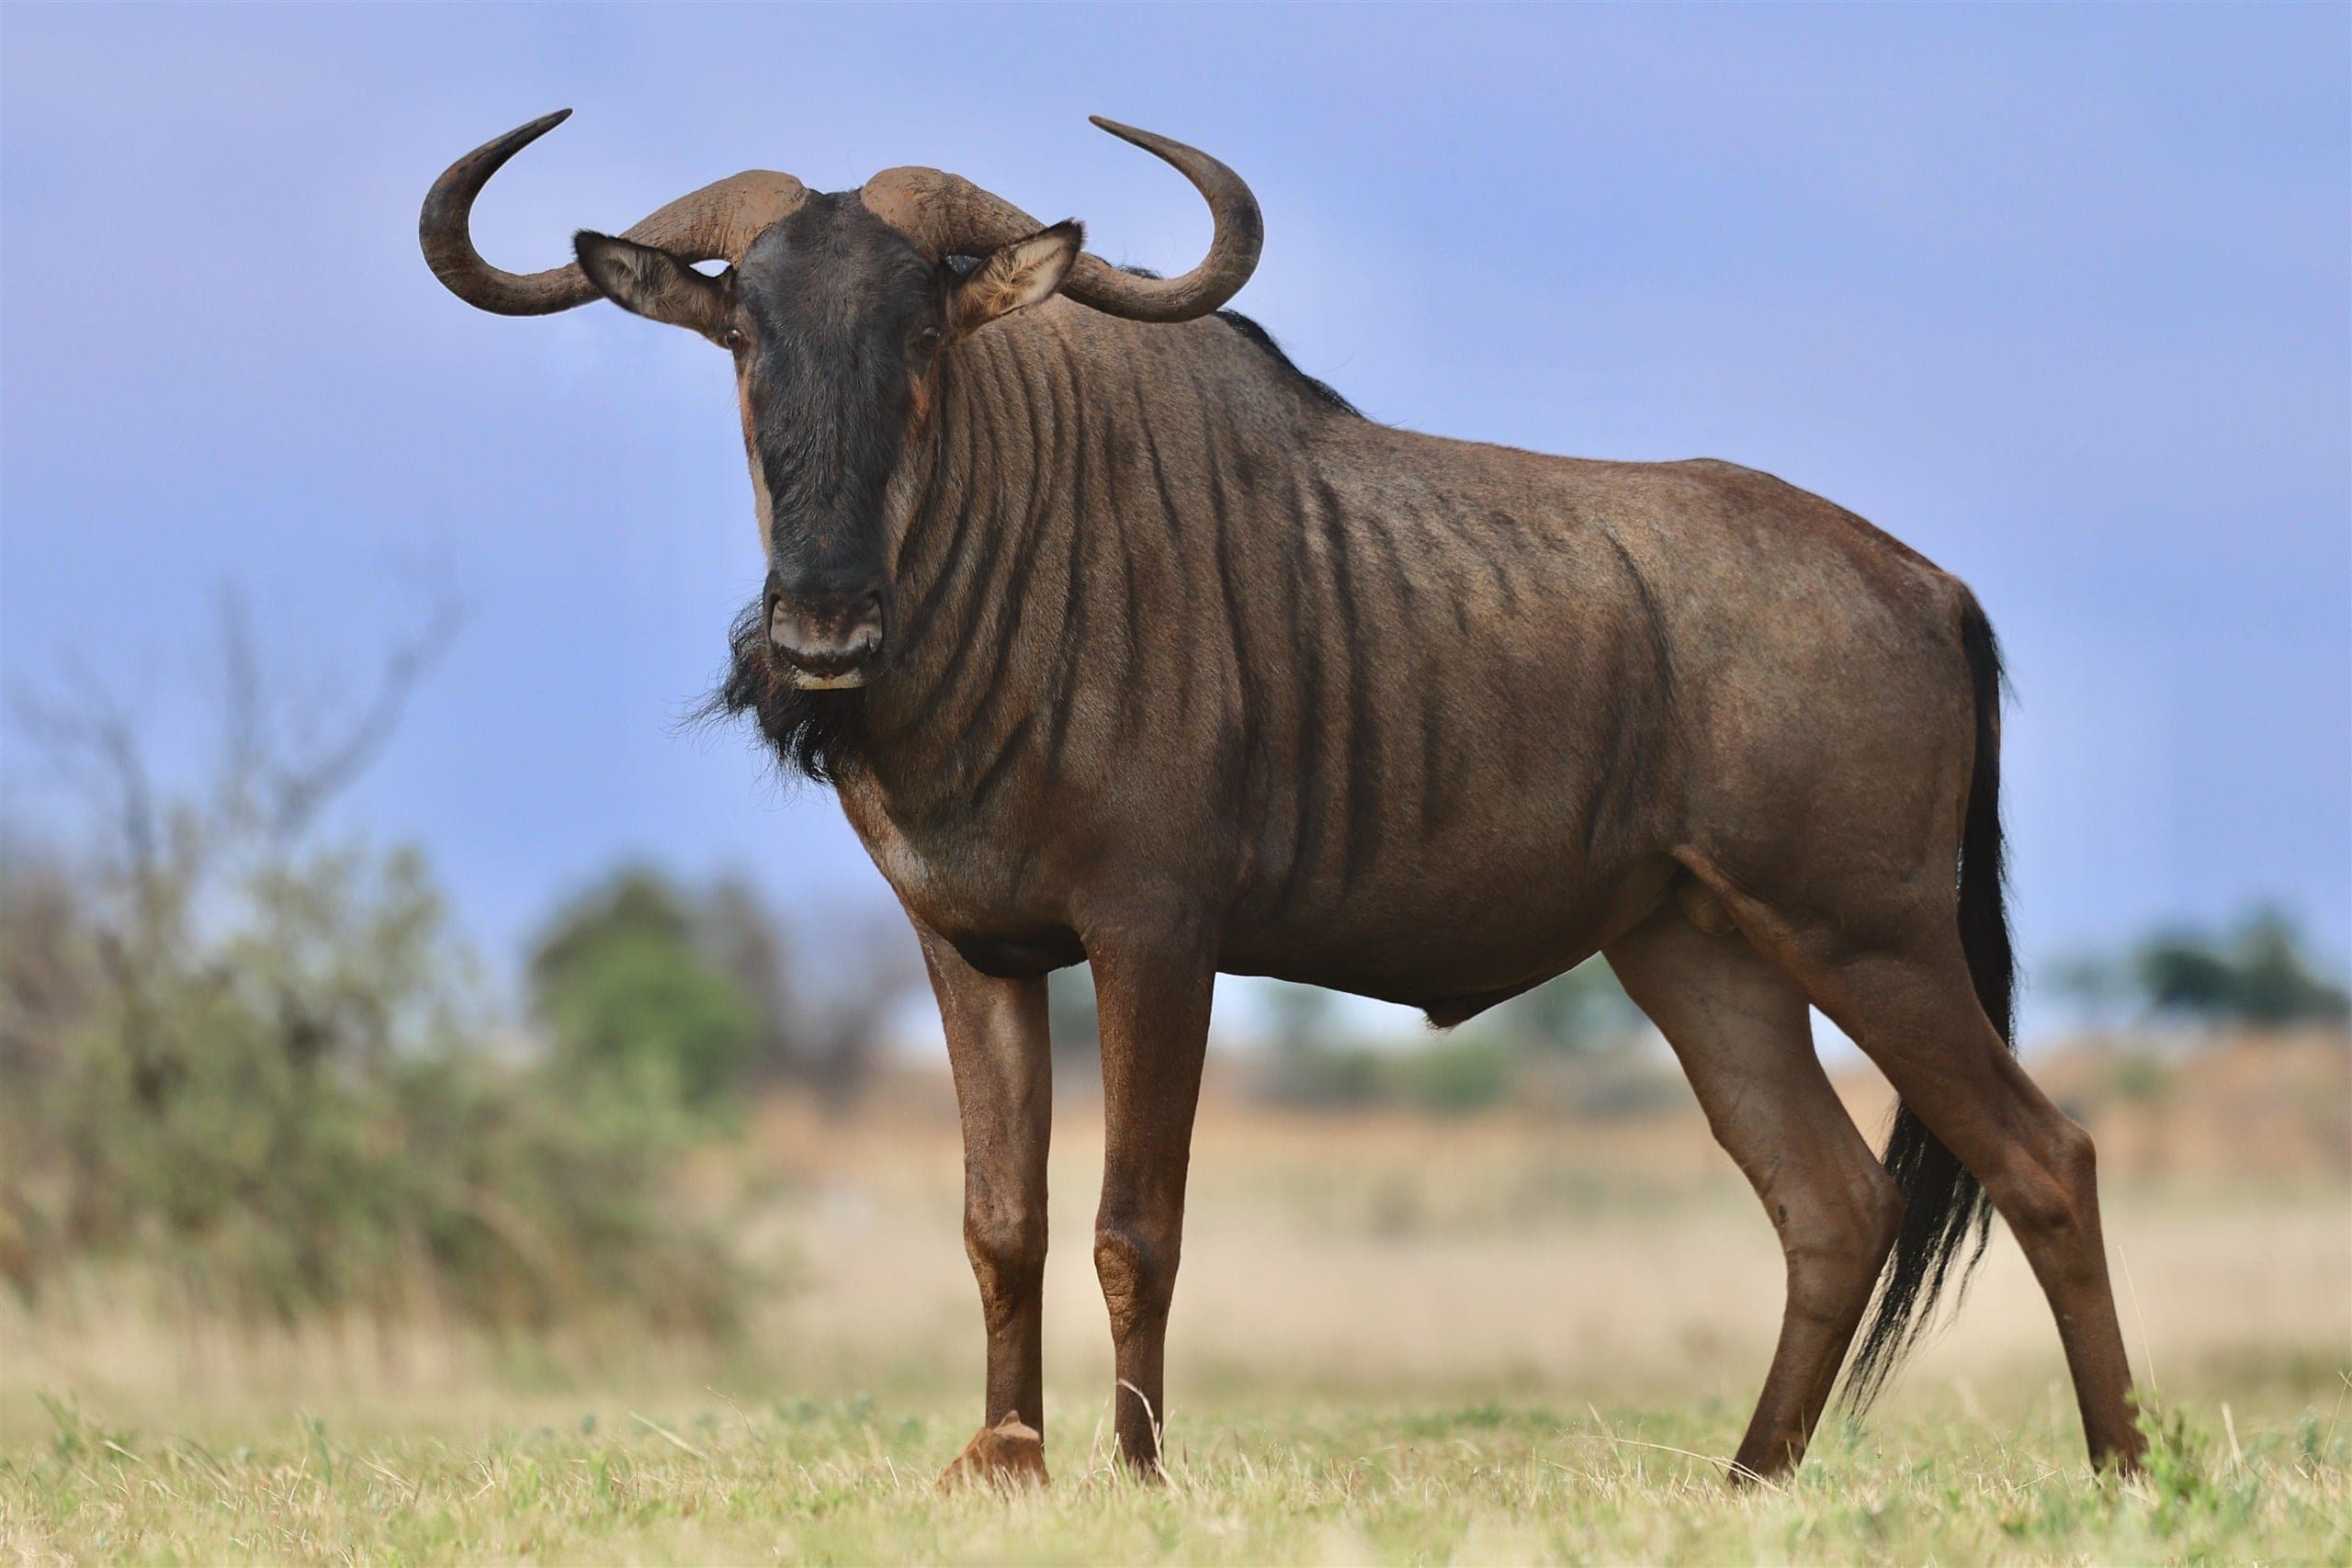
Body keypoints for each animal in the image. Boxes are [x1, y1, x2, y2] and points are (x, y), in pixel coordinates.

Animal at [422, 111, 2145, 1484]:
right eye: (747, 337)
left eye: (921, 333)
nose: (823, 628)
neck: (1002, 570)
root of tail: (1928, 583)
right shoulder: (969, 948)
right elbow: (1001, 1222)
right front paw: (1007, 1458)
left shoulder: (1156, 933)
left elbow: (1134, 1226)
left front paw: (1135, 1474)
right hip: (1699, 950)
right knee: (1831, 1197)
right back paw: (1744, 1482)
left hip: (1870, 936)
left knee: (2044, 1155)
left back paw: (2125, 1471)